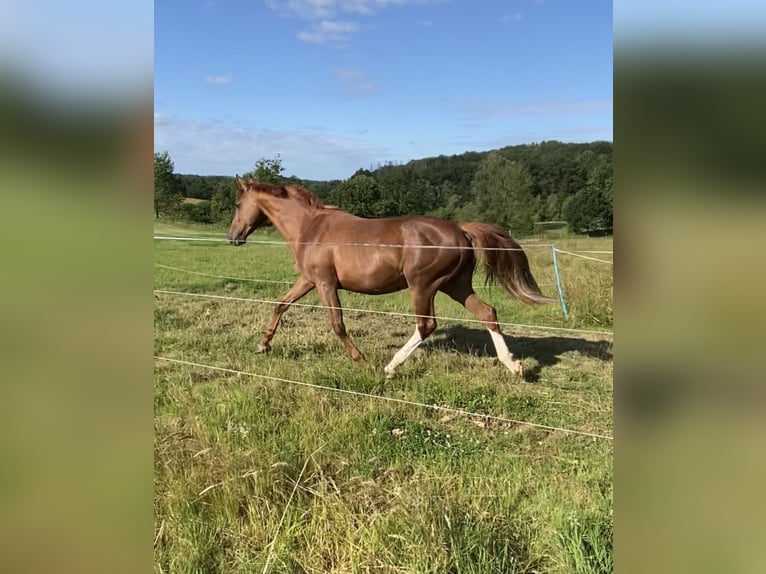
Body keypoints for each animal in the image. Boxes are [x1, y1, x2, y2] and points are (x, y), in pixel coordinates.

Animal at [225, 178, 556, 380]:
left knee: (426, 325)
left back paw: (390, 366)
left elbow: (337, 324)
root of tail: (460, 229)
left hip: (423, 286)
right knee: (488, 313)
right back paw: (514, 365)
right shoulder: (308, 280)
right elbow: (281, 305)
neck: (310, 227)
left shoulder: (325, 284)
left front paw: (360, 361)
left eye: (238, 205)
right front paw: (263, 345)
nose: (233, 237)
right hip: (456, 285)